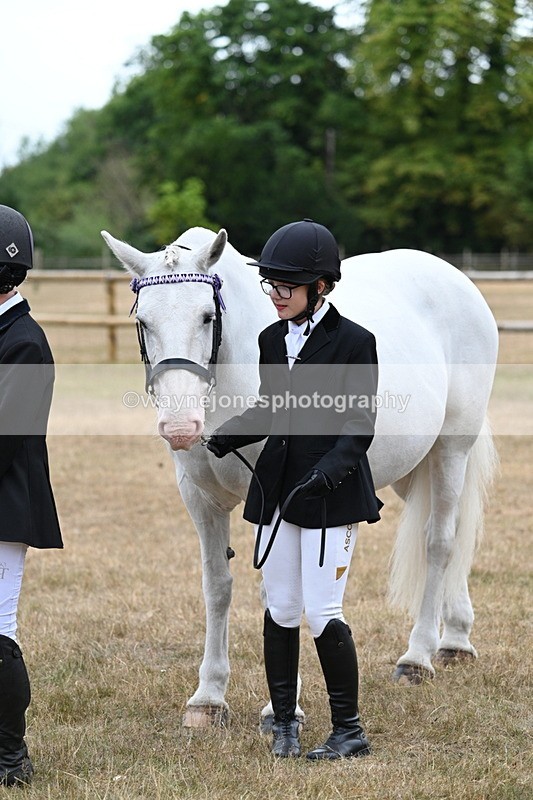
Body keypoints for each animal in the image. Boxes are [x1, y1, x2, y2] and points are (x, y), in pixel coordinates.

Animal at [101, 226, 499, 729]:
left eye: (207, 317)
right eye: (144, 321)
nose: (179, 426)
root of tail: (456, 278)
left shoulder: (276, 500)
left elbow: (279, 592)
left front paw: (281, 707)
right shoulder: (202, 500)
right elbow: (217, 588)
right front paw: (208, 698)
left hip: (451, 450)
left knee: (440, 542)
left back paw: (419, 656)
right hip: (410, 468)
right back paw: (456, 639)